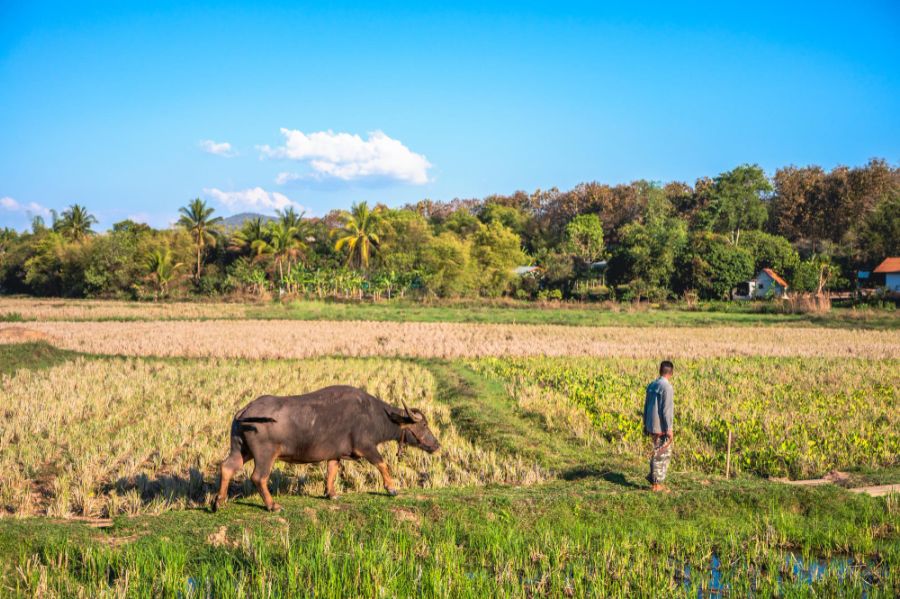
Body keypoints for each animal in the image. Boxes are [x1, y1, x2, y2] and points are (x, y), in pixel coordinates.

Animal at [209, 386, 438, 512]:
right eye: (424, 425)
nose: (436, 444)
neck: (376, 415)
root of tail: (244, 410)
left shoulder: (335, 454)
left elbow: (332, 471)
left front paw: (331, 494)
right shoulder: (366, 447)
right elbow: (382, 463)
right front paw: (391, 488)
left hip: (241, 450)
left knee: (227, 467)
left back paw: (219, 502)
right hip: (265, 455)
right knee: (259, 477)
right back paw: (273, 506)